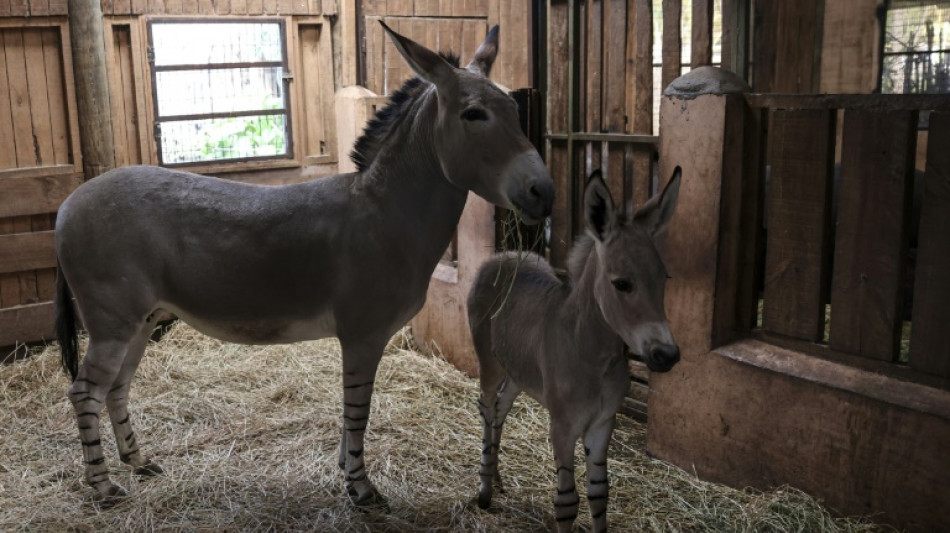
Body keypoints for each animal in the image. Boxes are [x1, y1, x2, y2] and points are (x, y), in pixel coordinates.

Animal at [470, 167, 684, 532]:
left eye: (665, 279)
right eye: (622, 284)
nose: (667, 356)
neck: (592, 355)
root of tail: (502, 256)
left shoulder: (602, 423)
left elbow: (599, 494)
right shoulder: (562, 426)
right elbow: (567, 503)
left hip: (518, 371)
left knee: (500, 409)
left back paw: (496, 479)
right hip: (489, 363)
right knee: (486, 408)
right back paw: (485, 490)